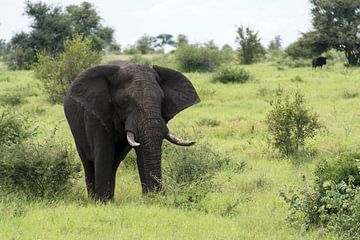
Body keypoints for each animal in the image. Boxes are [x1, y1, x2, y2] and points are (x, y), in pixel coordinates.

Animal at [64, 61, 200, 201]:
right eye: (126, 101)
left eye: (162, 100)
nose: (161, 194)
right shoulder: (97, 114)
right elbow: (104, 153)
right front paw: (101, 202)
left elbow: (142, 152)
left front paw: (150, 199)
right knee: (88, 162)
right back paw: (95, 199)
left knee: (115, 162)